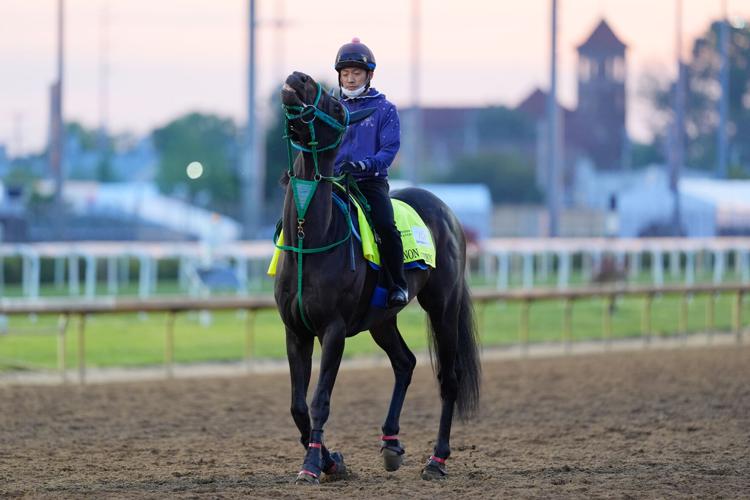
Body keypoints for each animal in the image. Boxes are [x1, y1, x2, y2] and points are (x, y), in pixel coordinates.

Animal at [275, 71, 480, 483]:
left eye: (336, 107)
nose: (297, 77)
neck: (310, 238)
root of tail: (448, 212)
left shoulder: (334, 330)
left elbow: (320, 401)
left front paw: (312, 466)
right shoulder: (296, 331)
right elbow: (298, 406)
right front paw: (331, 461)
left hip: (443, 307)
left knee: (449, 378)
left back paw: (437, 460)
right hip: (382, 318)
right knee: (405, 363)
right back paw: (391, 443)